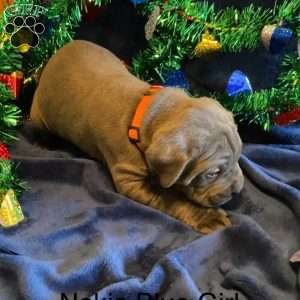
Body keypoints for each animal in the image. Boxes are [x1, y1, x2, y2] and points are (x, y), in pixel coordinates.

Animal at [30, 39, 244, 233]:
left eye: (238, 157)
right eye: (212, 173)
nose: (236, 191)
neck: (149, 112)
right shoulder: (130, 180)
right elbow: (169, 198)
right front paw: (208, 217)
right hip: (39, 113)